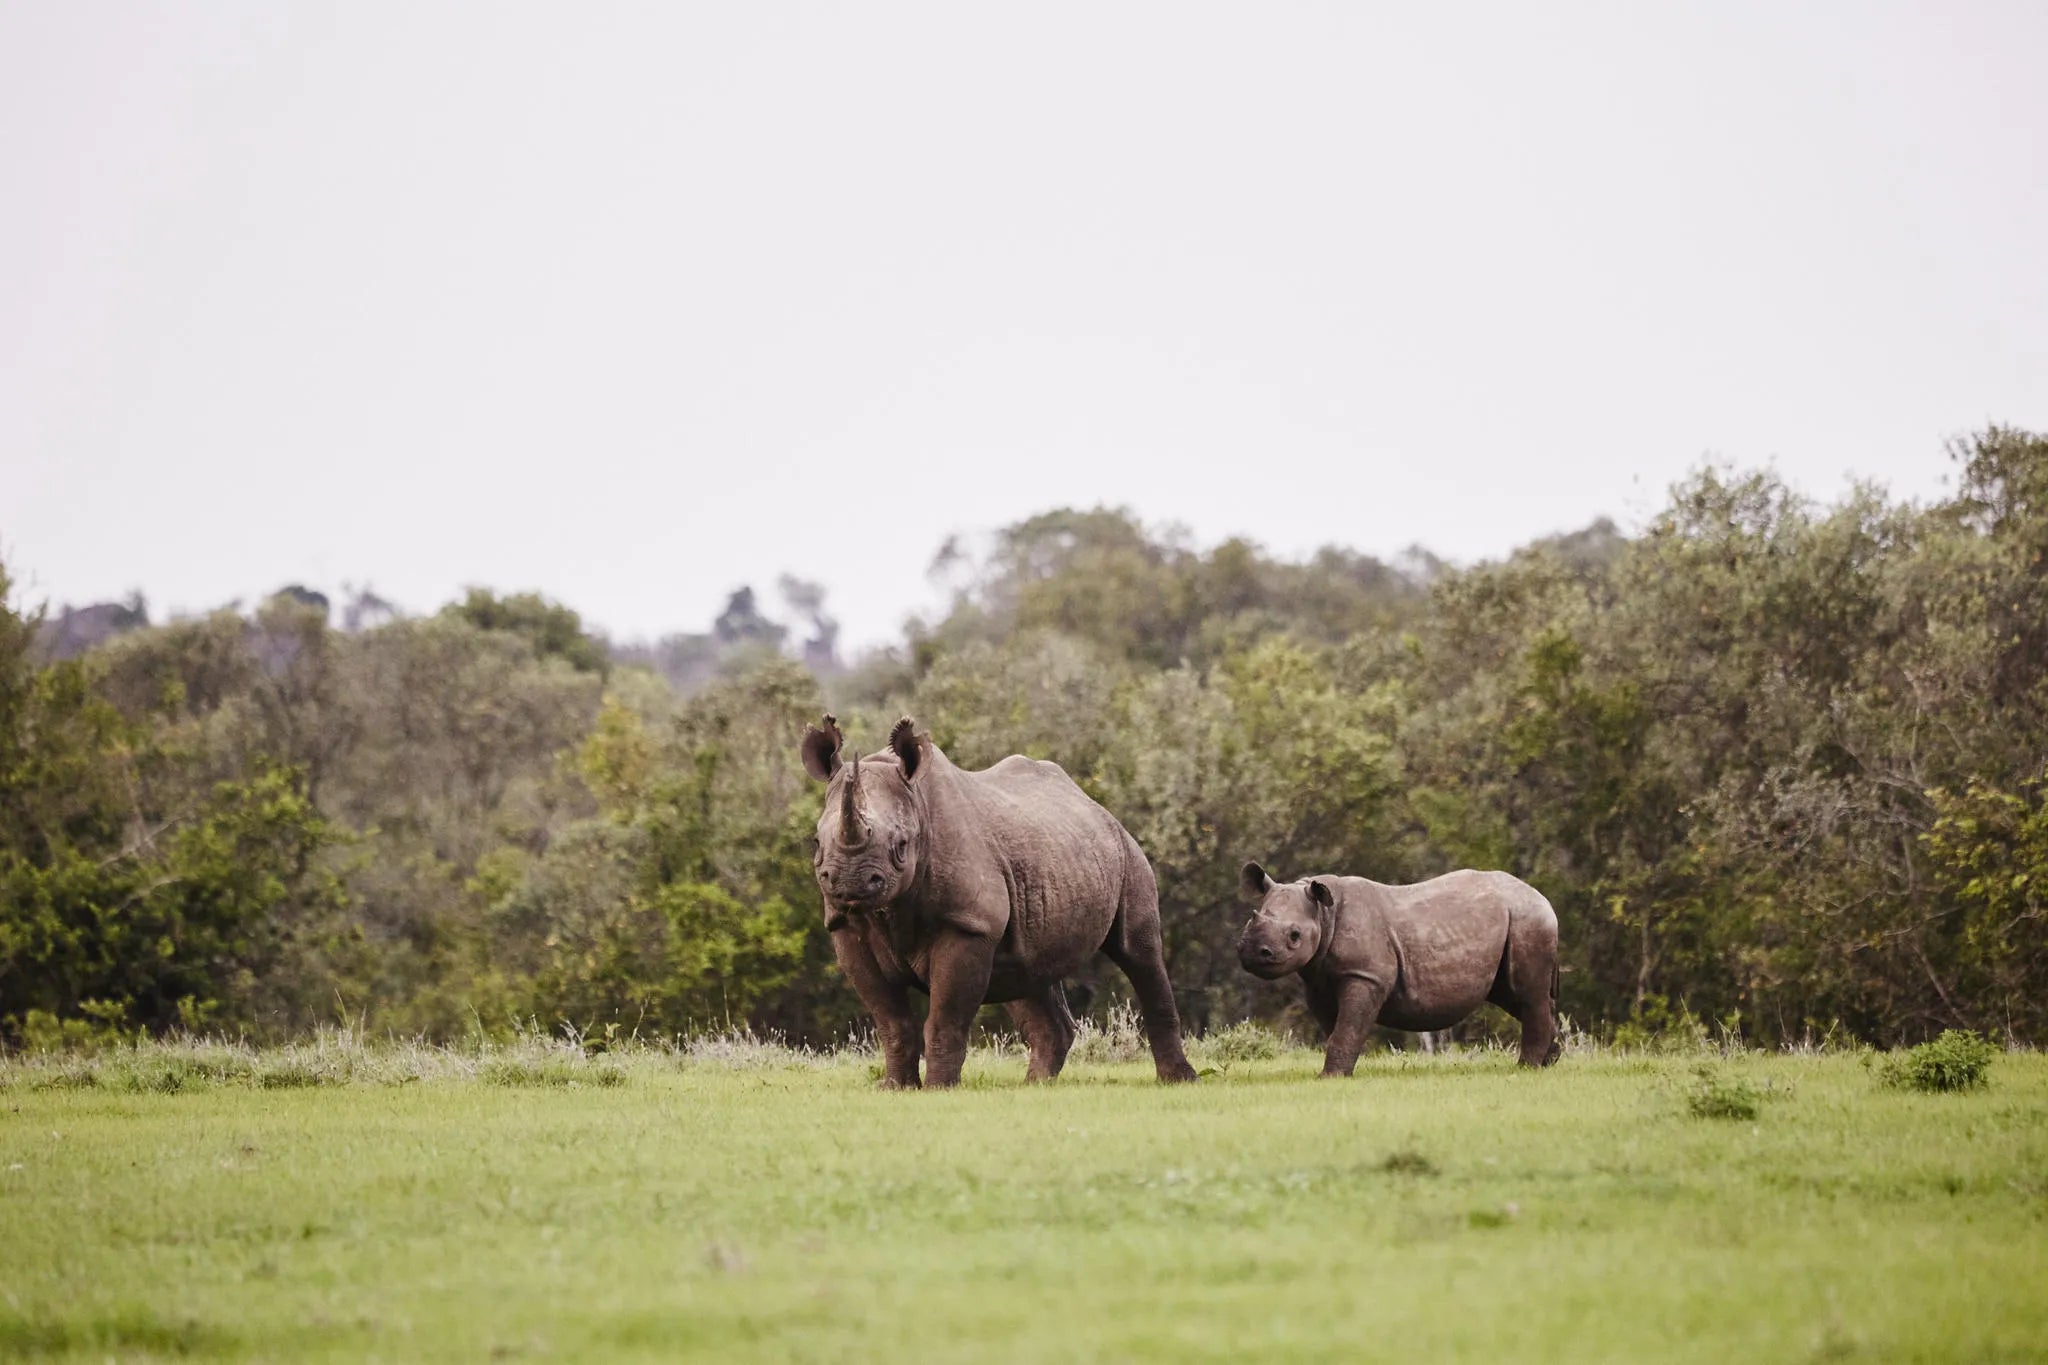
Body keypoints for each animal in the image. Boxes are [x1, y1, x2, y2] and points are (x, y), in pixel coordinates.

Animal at [802, 714, 1199, 1088]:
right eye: (817, 843)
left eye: (900, 846)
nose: (849, 882)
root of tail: (1094, 804)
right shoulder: (846, 925)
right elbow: (891, 1022)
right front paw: (896, 1088)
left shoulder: (967, 924)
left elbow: (944, 1017)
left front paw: (938, 1089)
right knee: (1026, 970)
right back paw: (1036, 1086)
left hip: (1125, 849)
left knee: (1139, 953)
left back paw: (1179, 1080)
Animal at [1235, 862, 1561, 1075]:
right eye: (1250, 920)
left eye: (1294, 935)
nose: (1252, 953)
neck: (1324, 914)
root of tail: (1542, 897)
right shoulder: (1318, 982)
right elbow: (1336, 1029)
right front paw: (1341, 1074)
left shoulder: (1365, 975)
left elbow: (1348, 1028)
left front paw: (1330, 1077)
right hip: (1518, 920)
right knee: (1514, 995)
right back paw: (1549, 1062)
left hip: (1528, 919)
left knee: (1526, 994)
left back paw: (1524, 1069)